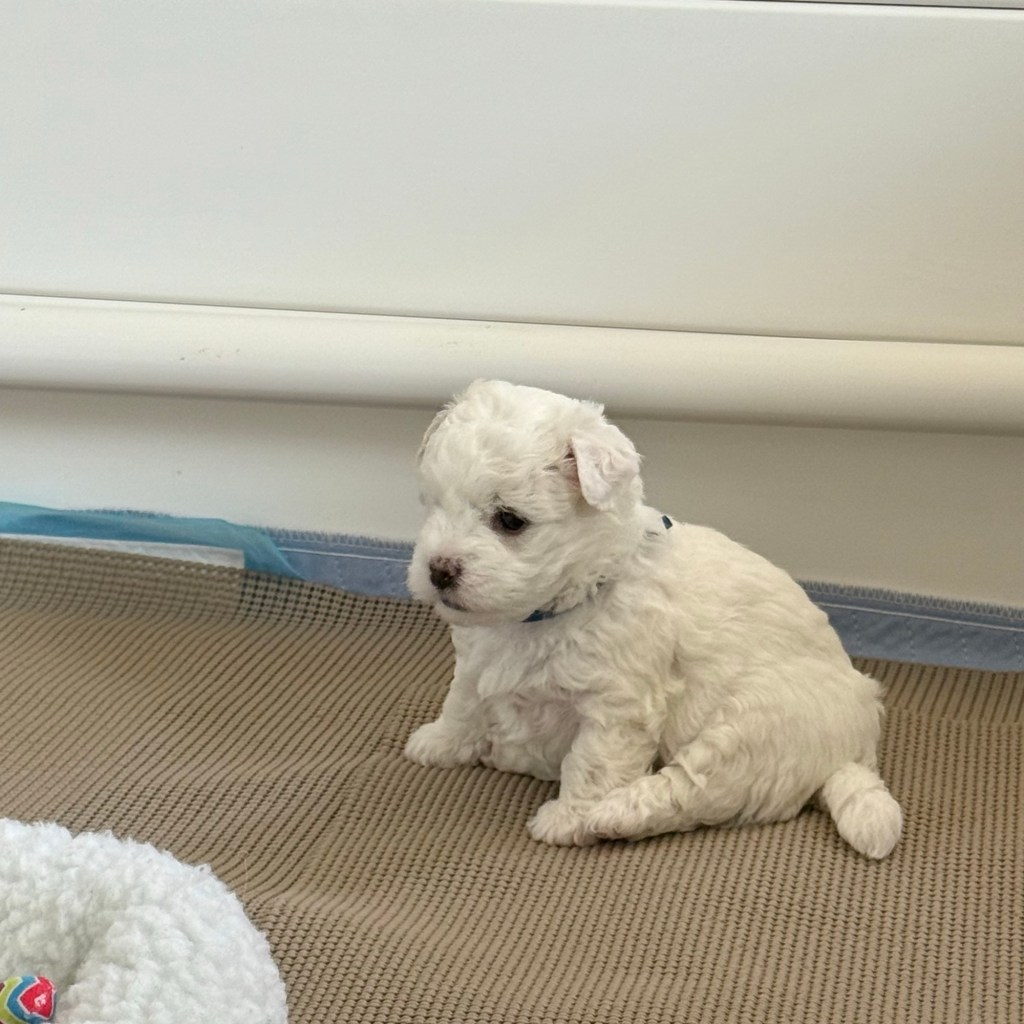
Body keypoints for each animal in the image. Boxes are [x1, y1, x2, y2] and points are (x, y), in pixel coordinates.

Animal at [405, 380, 902, 857]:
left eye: (510, 520)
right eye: (432, 505)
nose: (439, 570)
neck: (565, 600)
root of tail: (856, 746)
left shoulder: (617, 704)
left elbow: (591, 761)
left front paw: (567, 818)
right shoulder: (476, 659)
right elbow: (462, 701)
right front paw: (439, 743)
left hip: (752, 728)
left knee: (691, 791)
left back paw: (609, 815)